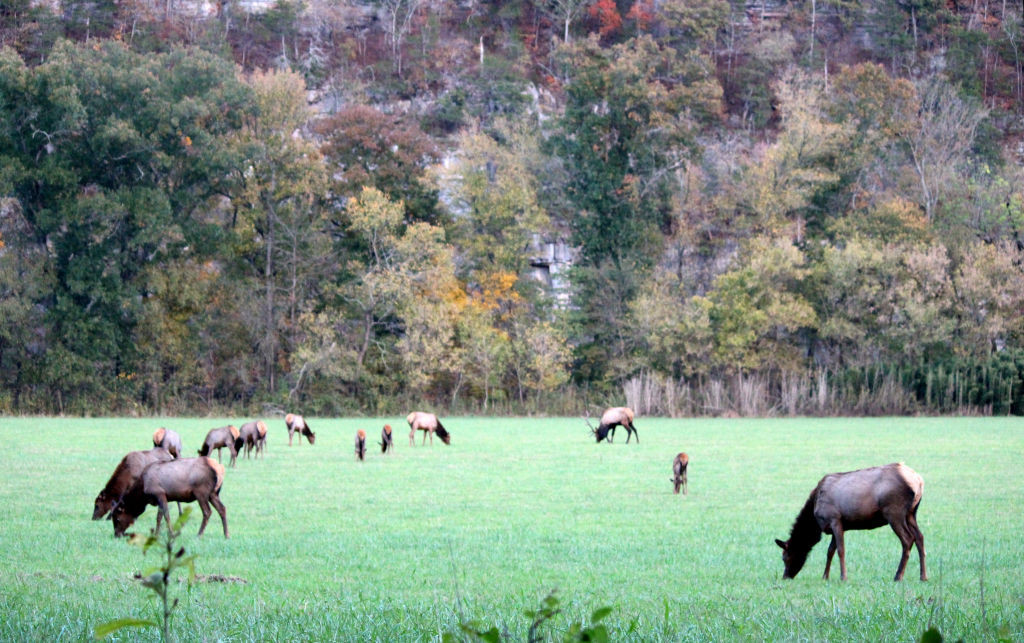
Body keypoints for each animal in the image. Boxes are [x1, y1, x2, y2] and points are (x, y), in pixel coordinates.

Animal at [774, 458, 929, 581]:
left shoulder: (834, 519)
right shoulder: (837, 525)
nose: (785, 577)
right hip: (911, 513)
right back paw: (923, 576)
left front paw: (843, 577)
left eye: (785, 557)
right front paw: (825, 577)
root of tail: (919, 481)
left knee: (908, 539)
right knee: (920, 537)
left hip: (894, 511)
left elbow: (840, 550)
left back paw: (898, 576)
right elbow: (830, 551)